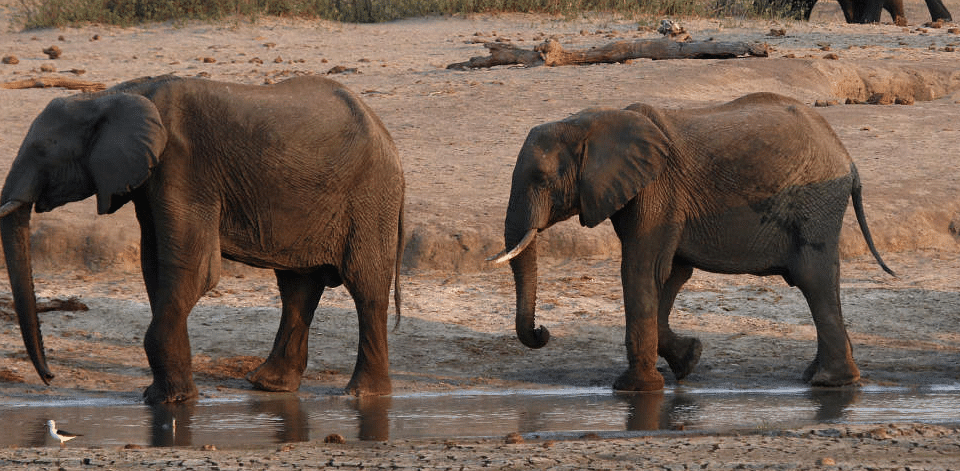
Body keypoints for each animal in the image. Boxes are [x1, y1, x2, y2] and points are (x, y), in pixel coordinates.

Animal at [0, 74, 404, 406]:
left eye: (42, 152)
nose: (49, 377)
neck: (113, 95)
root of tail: (386, 135)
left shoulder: (183, 167)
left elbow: (194, 270)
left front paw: (171, 402)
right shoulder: (152, 178)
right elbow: (155, 265)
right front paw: (162, 397)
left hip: (370, 196)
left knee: (365, 287)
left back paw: (363, 394)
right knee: (297, 286)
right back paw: (268, 385)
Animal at [492, 93, 896, 394]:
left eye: (541, 178)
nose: (543, 332)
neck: (594, 121)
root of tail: (847, 156)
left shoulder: (657, 190)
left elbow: (642, 270)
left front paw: (634, 389)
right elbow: (671, 274)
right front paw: (690, 360)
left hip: (816, 202)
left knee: (814, 279)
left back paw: (830, 382)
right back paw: (816, 376)